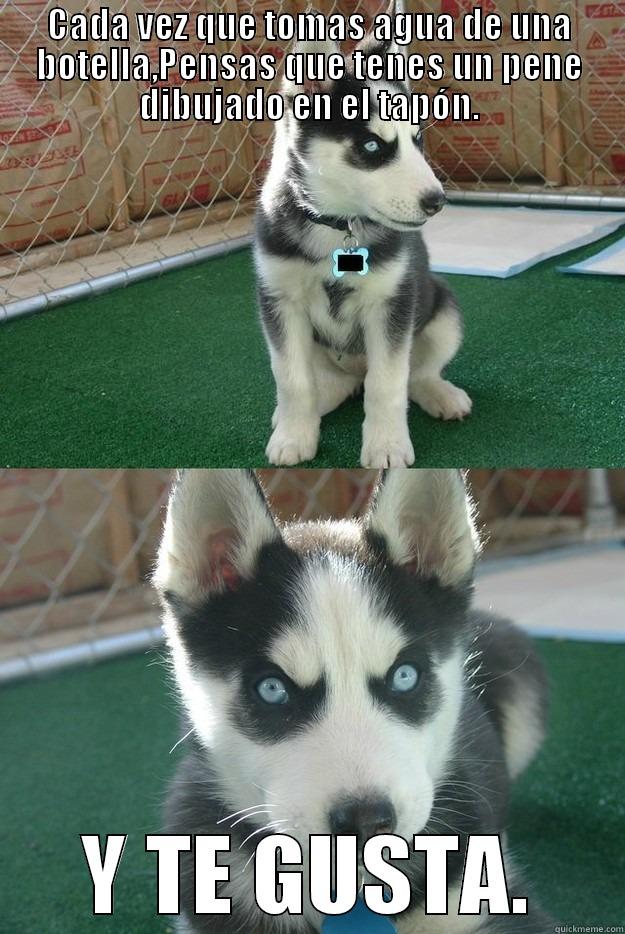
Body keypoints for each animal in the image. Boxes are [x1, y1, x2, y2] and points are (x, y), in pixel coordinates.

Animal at [255, 33, 472, 472]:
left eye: (417, 140)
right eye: (372, 145)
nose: (437, 202)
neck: (338, 226)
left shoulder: (391, 304)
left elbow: (386, 383)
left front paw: (386, 445)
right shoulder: (279, 301)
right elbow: (292, 379)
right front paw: (293, 436)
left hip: (443, 311)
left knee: (415, 375)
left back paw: (440, 394)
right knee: (329, 383)